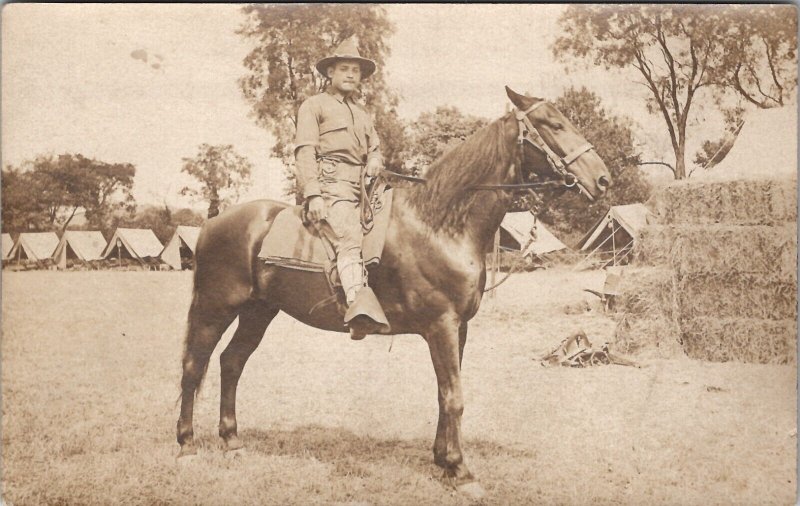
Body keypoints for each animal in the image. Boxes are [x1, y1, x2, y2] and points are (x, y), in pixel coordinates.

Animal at [177, 86, 612, 498]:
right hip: (215, 307)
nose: (604, 179)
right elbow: (454, 397)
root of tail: (212, 223)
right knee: (194, 366)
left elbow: (443, 394)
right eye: (553, 123)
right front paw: (462, 471)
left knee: (231, 362)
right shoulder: (441, 326)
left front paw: (442, 461)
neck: (439, 223)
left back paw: (232, 440)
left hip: (258, 311)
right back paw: (186, 445)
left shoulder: (458, 328)